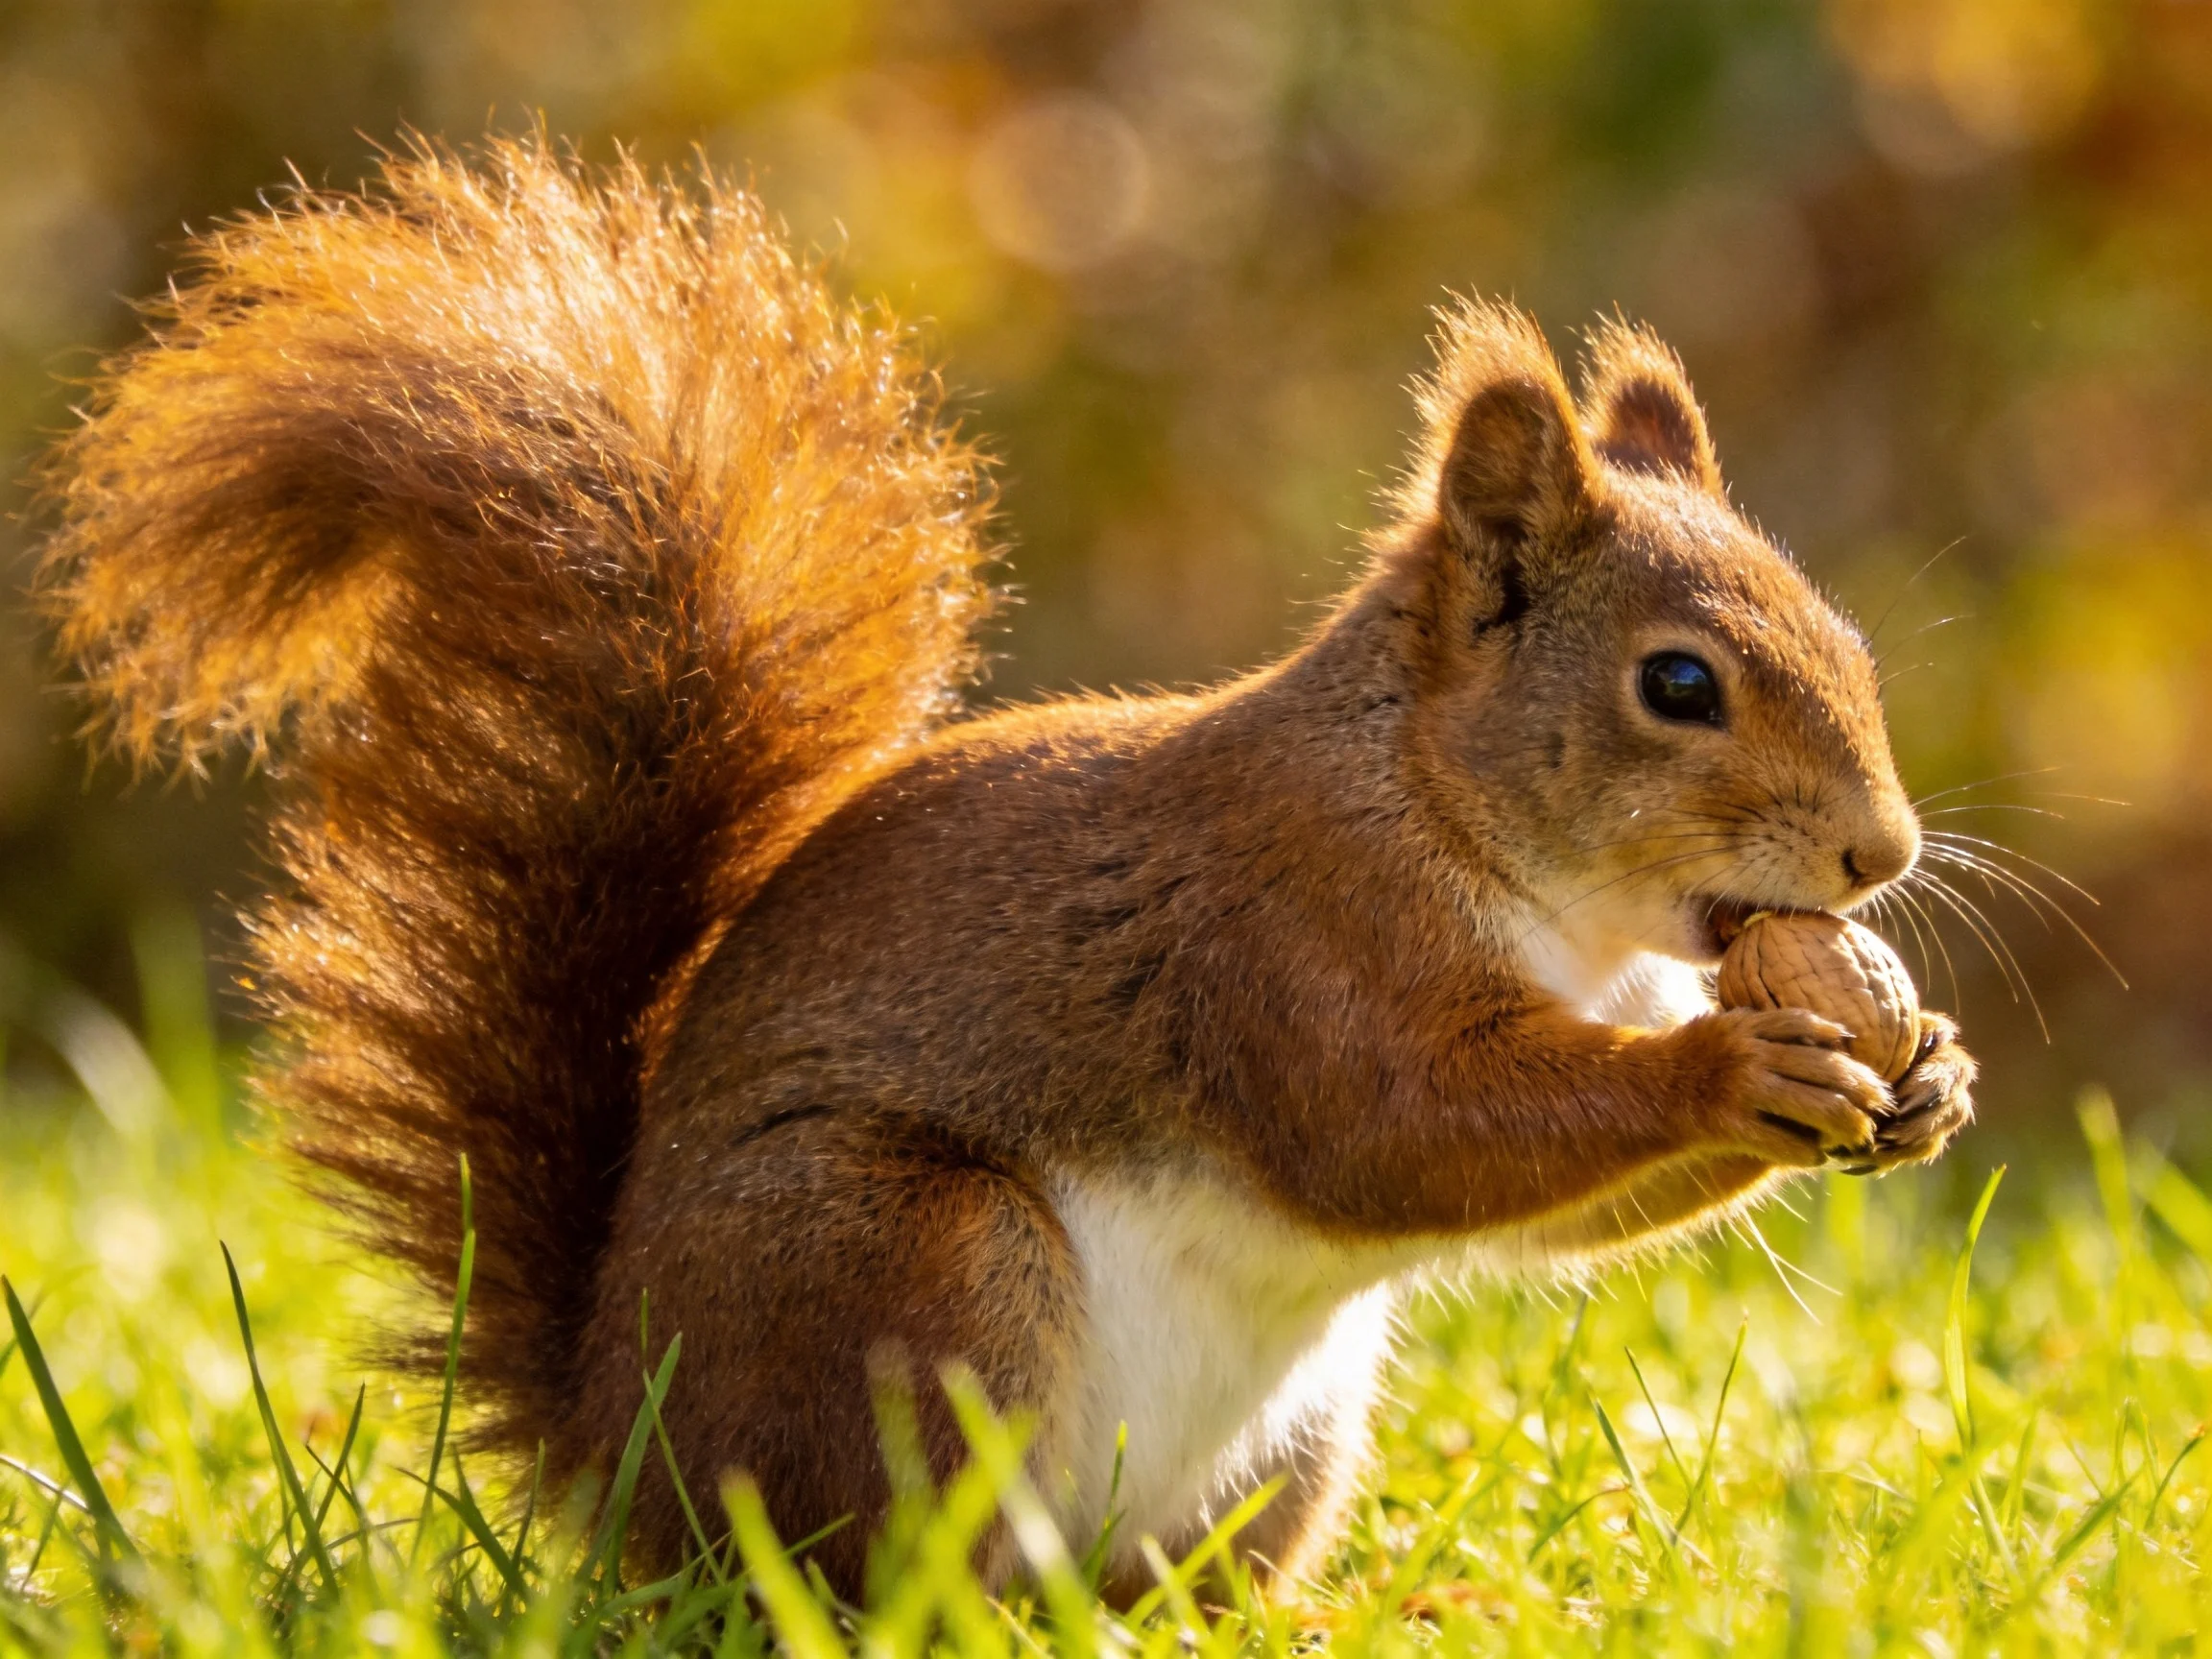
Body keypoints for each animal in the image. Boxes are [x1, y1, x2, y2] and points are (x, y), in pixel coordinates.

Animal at [39, 137, 1975, 1599]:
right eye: (1677, 685)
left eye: (1845, 633)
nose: (1877, 850)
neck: (1446, 812)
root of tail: (616, 1449)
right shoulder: (1285, 935)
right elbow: (1403, 1127)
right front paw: (1735, 1063)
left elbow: (1539, 1201)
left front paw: (1924, 1074)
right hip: (913, 1268)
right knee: (862, 1571)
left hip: (1288, 1437)